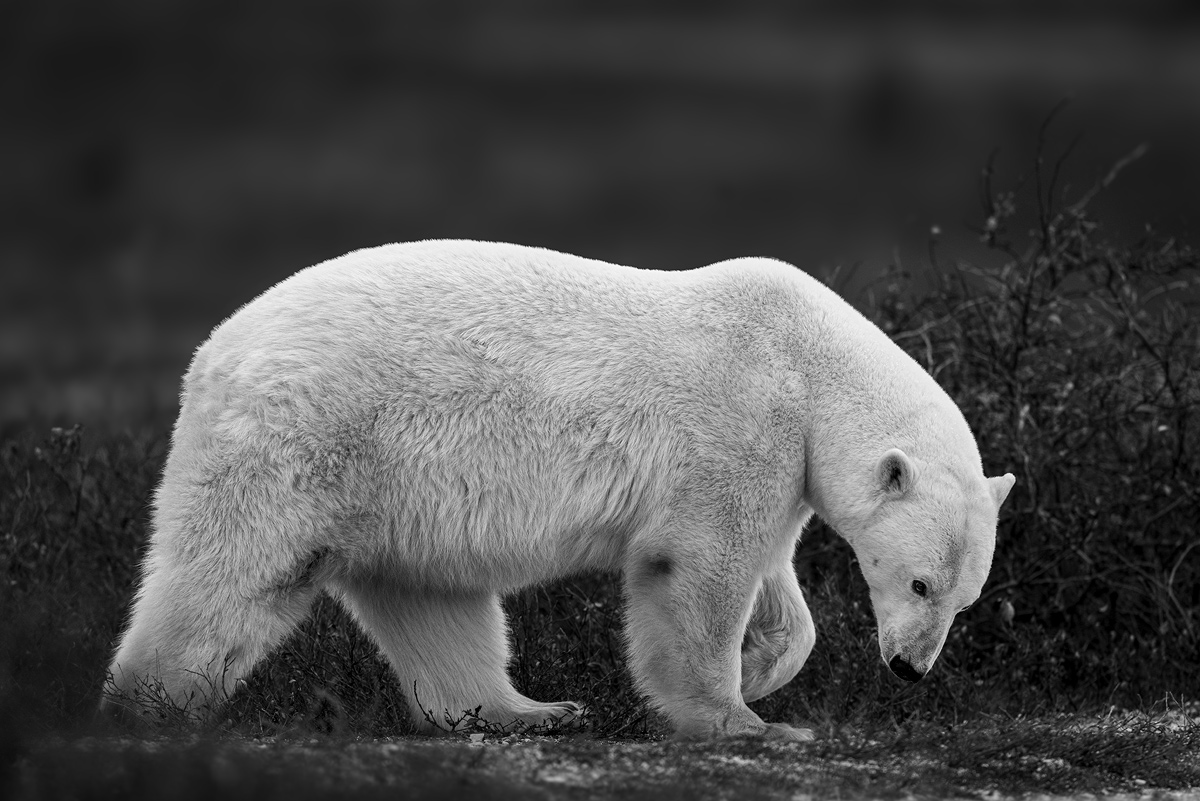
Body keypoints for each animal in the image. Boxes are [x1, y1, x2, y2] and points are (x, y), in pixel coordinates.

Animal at [102, 239, 1015, 741]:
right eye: (920, 582)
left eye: (964, 598)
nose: (910, 669)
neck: (809, 357)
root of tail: (211, 354)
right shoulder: (742, 417)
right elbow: (700, 564)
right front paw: (748, 718)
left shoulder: (786, 455)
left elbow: (776, 577)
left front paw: (764, 667)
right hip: (306, 440)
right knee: (234, 572)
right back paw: (149, 703)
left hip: (394, 489)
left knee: (437, 607)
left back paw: (531, 710)